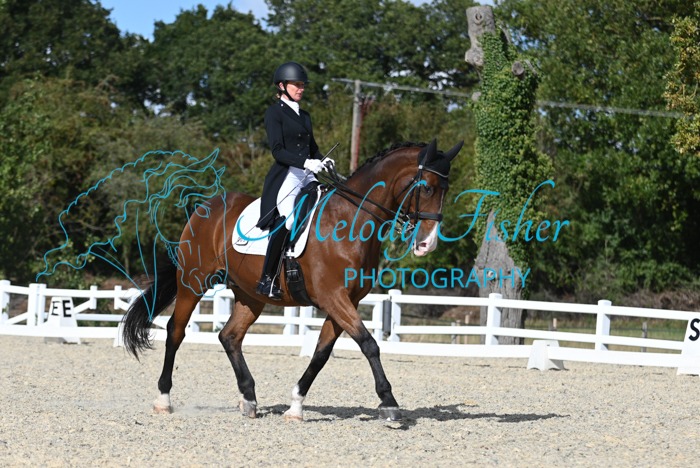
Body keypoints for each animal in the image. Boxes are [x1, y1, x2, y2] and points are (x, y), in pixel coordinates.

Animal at [122, 139, 463, 421]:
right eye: (427, 188)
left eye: (445, 189)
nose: (427, 244)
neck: (350, 220)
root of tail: (206, 207)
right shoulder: (333, 297)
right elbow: (369, 344)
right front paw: (389, 403)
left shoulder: (345, 302)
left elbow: (322, 353)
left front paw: (296, 405)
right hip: (193, 282)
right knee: (175, 331)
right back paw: (164, 399)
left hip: (250, 295)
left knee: (230, 336)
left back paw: (249, 400)